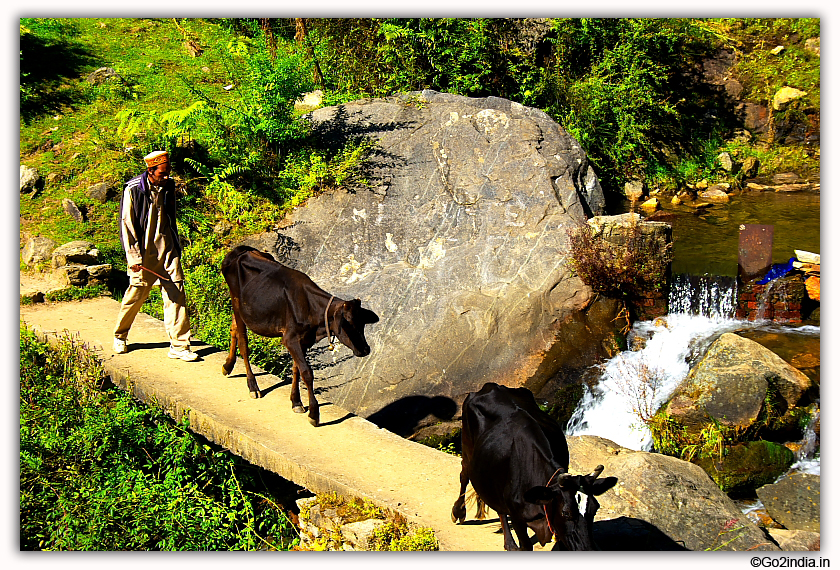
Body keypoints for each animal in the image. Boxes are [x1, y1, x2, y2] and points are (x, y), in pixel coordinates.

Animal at [218, 245, 378, 426]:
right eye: (347, 323)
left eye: (362, 323)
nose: (365, 349)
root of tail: (241, 250)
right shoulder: (290, 339)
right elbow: (307, 372)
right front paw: (314, 413)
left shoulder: (304, 340)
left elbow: (296, 369)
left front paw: (296, 402)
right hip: (236, 304)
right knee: (243, 343)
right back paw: (253, 386)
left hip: (241, 310)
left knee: (233, 329)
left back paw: (227, 366)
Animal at [452, 382, 616, 544]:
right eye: (565, 513)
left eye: (595, 509)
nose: (587, 546)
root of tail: (491, 386)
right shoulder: (518, 519)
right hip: (467, 447)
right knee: (464, 475)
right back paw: (459, 513)